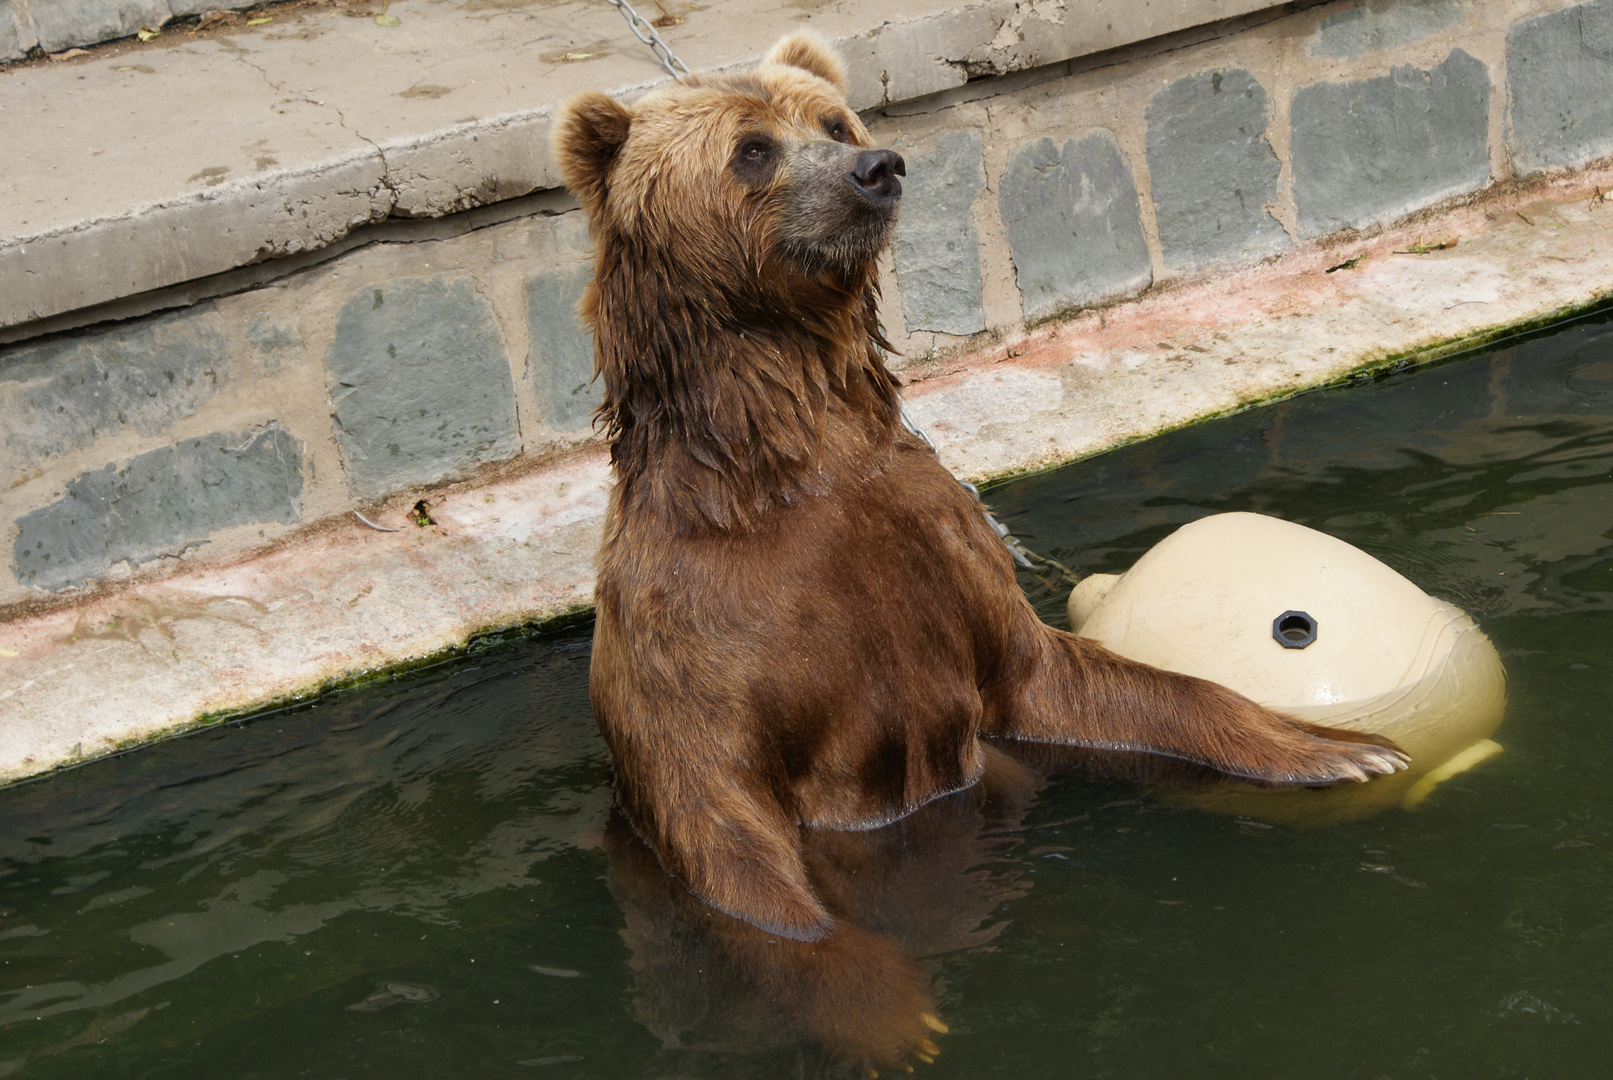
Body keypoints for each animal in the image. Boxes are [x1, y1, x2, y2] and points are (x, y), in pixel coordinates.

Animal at [554, 19, 1400, 1005]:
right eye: (752, 148)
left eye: (833, 123)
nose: (875, 167)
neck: (791, 458)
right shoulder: (695, 622)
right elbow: (722, 822)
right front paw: (875, 992)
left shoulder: (937, 555)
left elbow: (1075, 681)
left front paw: (1343, 746)